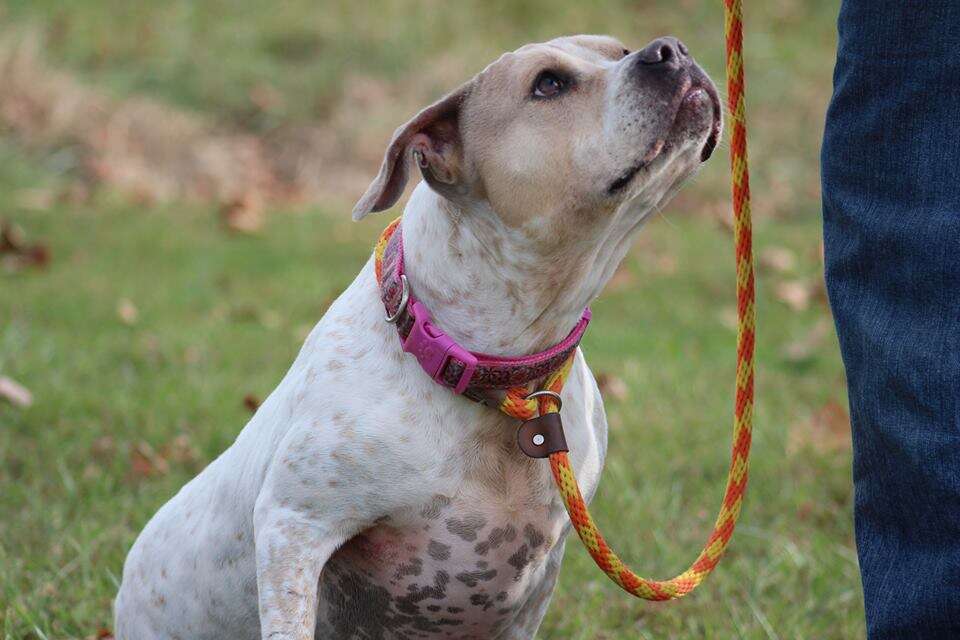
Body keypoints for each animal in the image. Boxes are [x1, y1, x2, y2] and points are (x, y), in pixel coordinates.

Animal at [114, 33, 720, 640]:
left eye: (618, 49)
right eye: (548, 84)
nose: (669, 49)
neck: (491, 370)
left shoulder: (536, 583)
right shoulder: (295, 527)